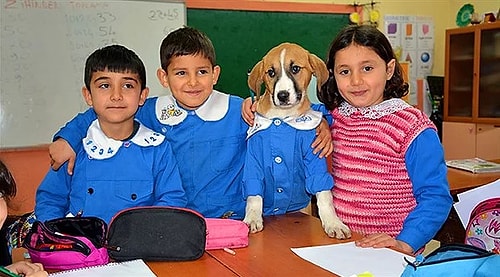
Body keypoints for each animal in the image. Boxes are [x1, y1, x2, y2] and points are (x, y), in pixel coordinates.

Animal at [243, 42, 352, 238]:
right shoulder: (253, 158)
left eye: (295, 69)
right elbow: (254, 194)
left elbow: (324, 194)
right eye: (271, 72)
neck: (282, 118)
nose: (282, 95)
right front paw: (253, 218)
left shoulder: (314, 156)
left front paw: (333, 223)